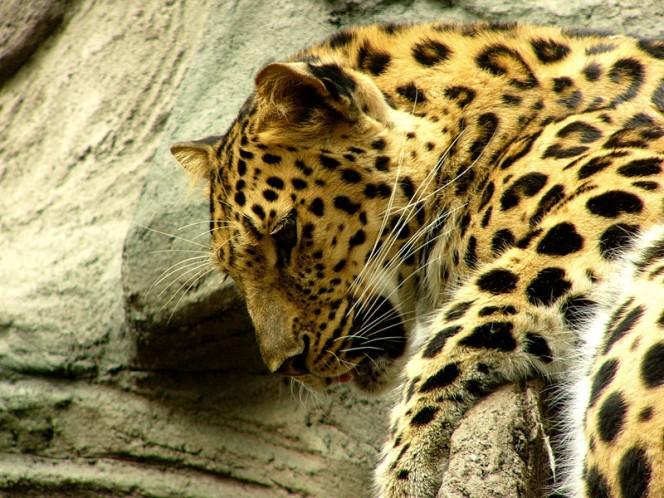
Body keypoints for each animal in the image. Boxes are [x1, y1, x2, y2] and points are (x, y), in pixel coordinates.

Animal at [170, 20, 664, 498]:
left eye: (285, 235)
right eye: (233, 273)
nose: (287, 364)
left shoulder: (627, 181)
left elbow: (478, 307)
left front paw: (407, 466)